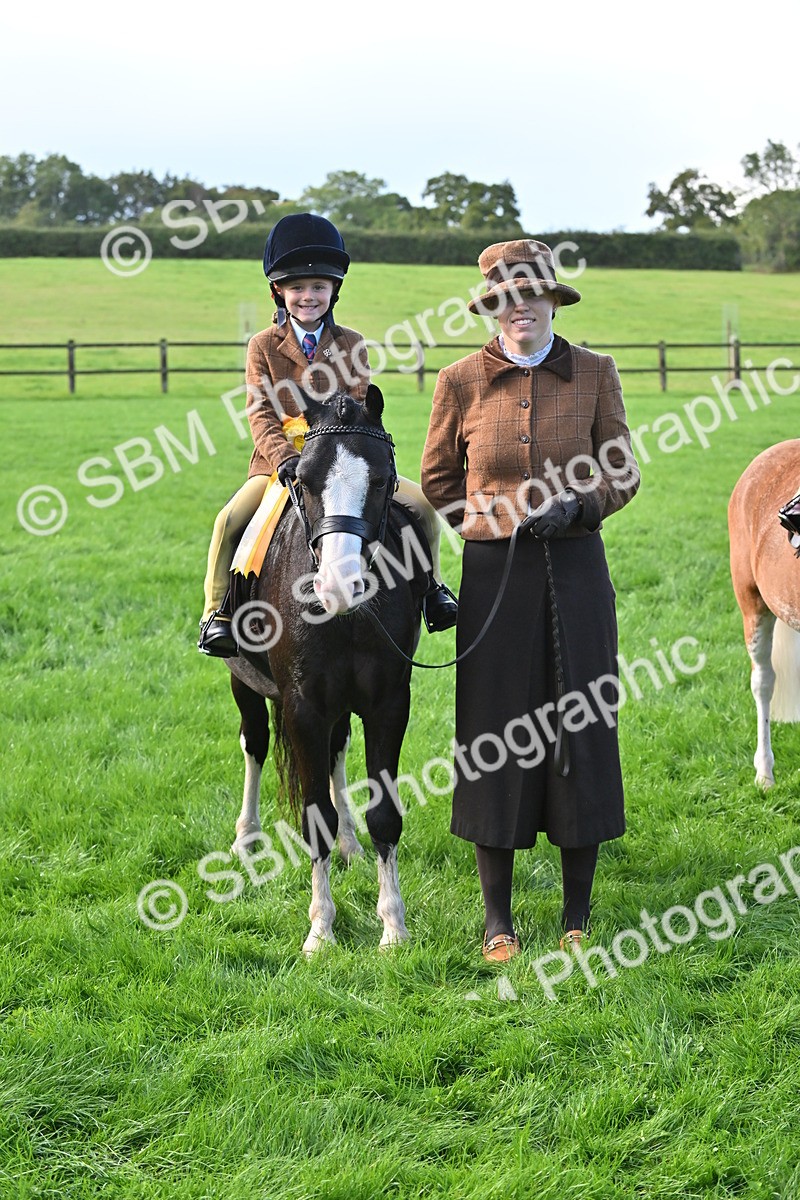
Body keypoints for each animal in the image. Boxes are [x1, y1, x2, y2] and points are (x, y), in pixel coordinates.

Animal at [222, 384, 431, 953]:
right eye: (304, 480)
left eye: (379, 480)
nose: (339, 585)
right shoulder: (304, 708)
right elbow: (314, 814)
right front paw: (320, 930)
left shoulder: (387, 704)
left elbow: (384, 813)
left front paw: (393, 926)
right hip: (242, 682)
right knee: (254, 744)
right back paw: (246, 837)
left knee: (337, 754)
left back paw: (350, 844)